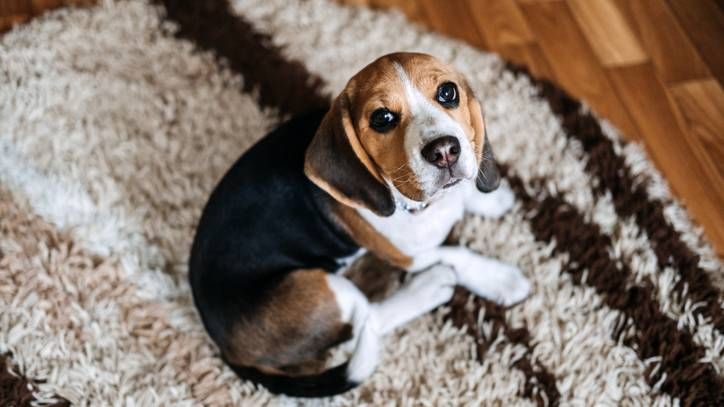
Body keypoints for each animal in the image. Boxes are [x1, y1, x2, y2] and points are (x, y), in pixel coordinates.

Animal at [189, 51, 528, 398]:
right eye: (382, 118)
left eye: (448, 93)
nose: (445, 150)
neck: (416, 203)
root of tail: (226, 350)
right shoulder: (406, 255)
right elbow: (457, 253)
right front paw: (500, 278)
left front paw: (489, 199)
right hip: (325, 290)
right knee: (369, 321)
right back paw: (430, 287)